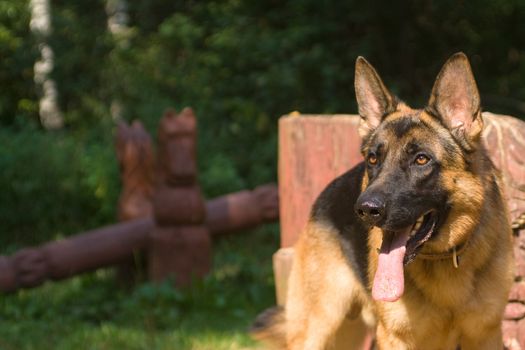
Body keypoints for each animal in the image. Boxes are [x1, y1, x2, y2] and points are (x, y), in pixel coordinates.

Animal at [252, 52, 512, 350]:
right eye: (373, 159)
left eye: (421, 159)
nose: (365, 210)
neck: (444, 258)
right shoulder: (395, 338)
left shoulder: (486, 336)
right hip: (314, 330)